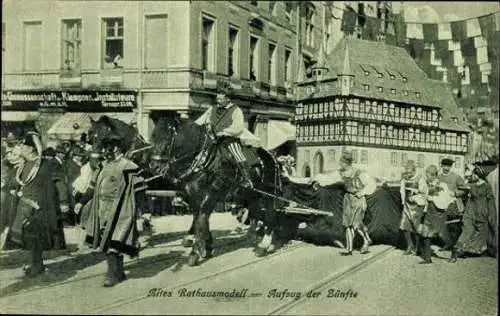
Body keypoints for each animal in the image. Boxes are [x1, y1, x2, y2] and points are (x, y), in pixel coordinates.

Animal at [149, 117, 290, 266]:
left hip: (269, 195)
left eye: (166, 140)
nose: (154, 167)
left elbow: (201, 220)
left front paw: (195, 252)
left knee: (271, 216)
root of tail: (272, 156)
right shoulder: (194, 197)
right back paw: (252, 236)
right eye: (153, 137)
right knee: (255, 213)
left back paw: (263, 245)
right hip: (252, 195)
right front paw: (206, 246)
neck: (204, 161)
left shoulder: (209, 197)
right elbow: (200, 219)